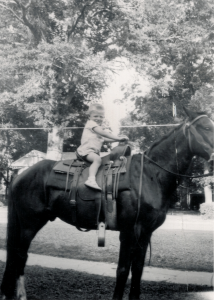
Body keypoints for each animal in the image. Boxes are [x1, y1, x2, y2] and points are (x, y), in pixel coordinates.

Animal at [1, 108, 214, 300]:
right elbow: (123, 269)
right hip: (29, 223)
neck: (149, 175)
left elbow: (137, 269)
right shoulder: (129, 231)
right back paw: (20, 295)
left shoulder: (145, 233)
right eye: (205, 127)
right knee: (19, 255)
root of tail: (20, 174)